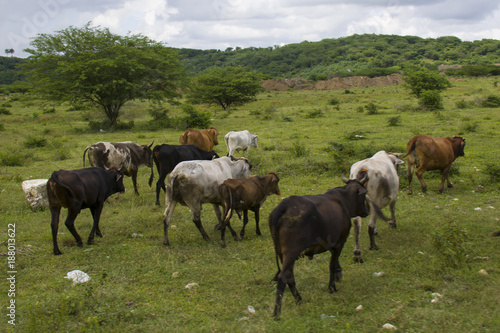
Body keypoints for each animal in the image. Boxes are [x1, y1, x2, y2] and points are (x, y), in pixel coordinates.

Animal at [270, 174, 372, 316]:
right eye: (364, 194)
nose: (367, 211)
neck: (343, 200)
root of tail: (285, 205)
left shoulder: (328, 242)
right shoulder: (340, 241)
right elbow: (332, 265)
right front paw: (332, 287)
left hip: (281, 252)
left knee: (289, 276)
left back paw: (299, 299)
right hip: (291, 252)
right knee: (283, 277)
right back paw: (277, 312)